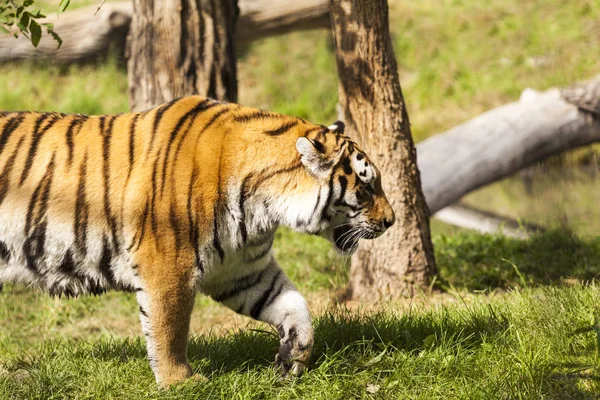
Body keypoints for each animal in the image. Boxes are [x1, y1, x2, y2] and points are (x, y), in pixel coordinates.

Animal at [0, 95, 394, 386]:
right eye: (366, 186)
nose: (391, 221)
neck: (264, 207)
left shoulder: (243, 271)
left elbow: (294, 305)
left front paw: (293, 359)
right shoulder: (167, 263)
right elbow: (168, 327)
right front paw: (180, 382)